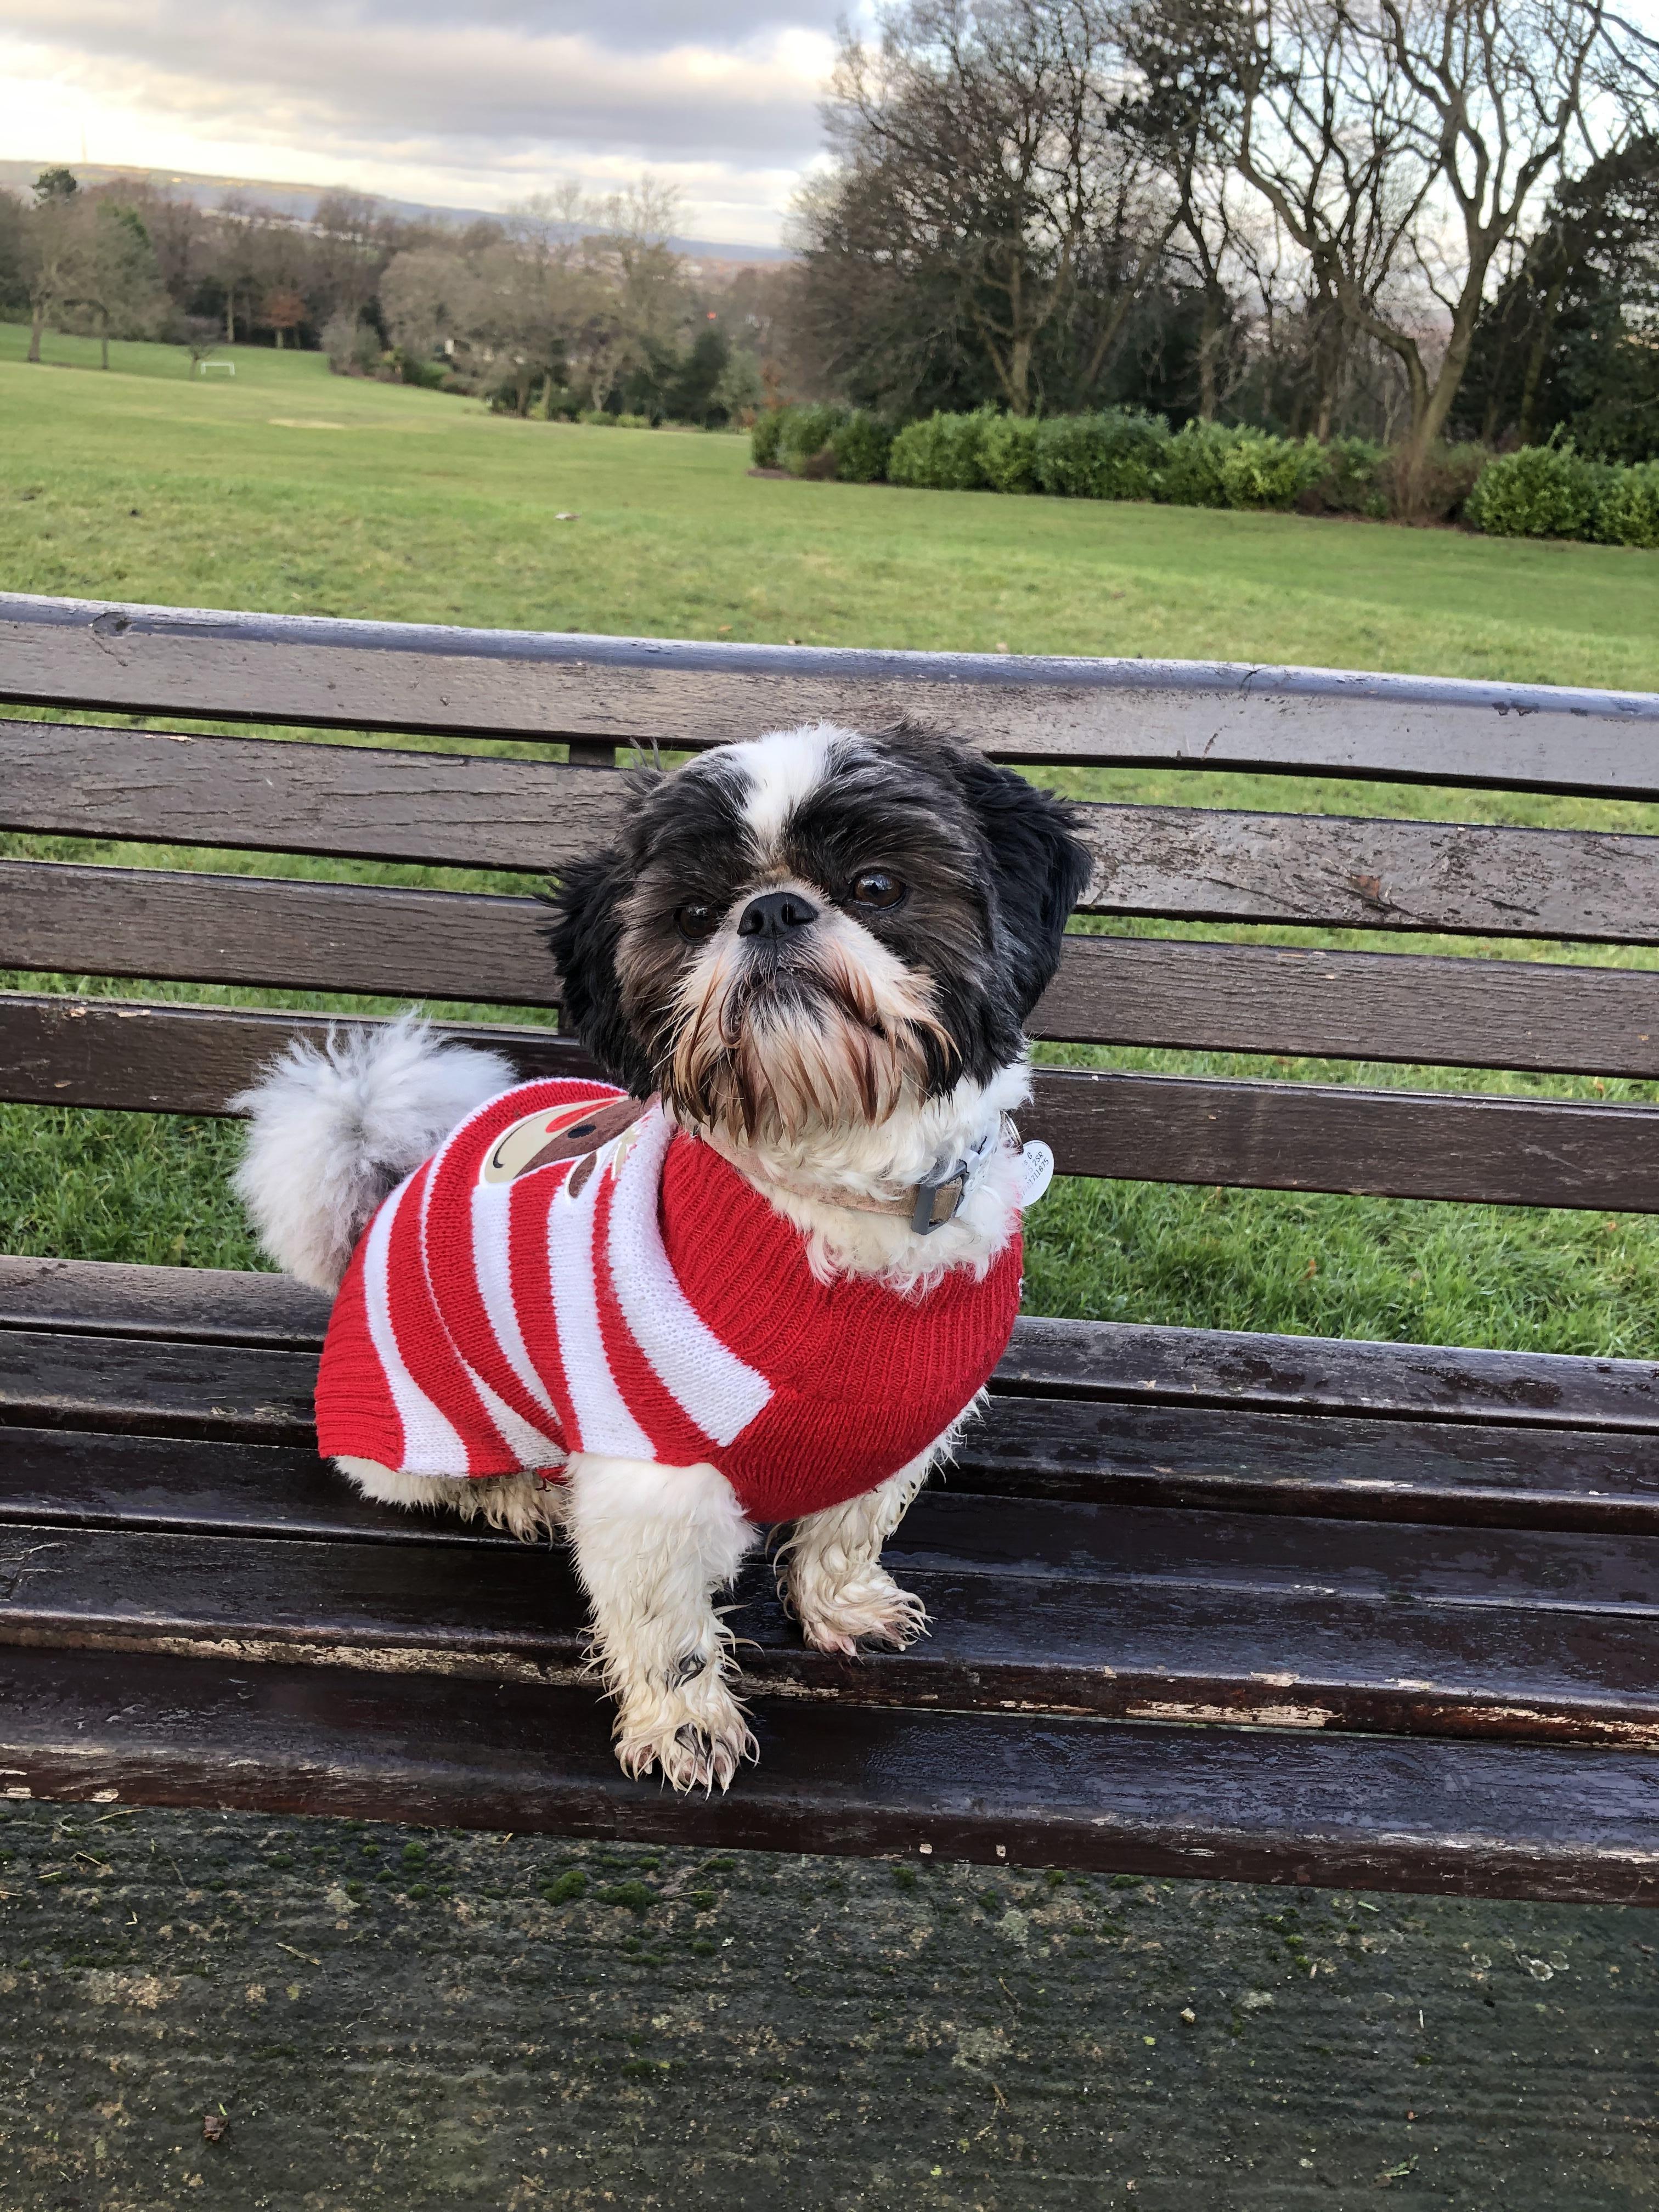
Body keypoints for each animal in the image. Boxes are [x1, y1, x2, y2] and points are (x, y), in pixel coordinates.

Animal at [234, 725, 1092, 1796]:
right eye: (690, 917)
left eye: (877, 886)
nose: (771, 908)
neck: (842, 1203)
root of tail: (383, 1198)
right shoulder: (654, 1478)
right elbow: (664, 1623)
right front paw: (686, 1726)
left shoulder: (901, 1425)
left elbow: (848, 1526)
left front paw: (840, 1603)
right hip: (422, 1422)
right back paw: (519, 1492)